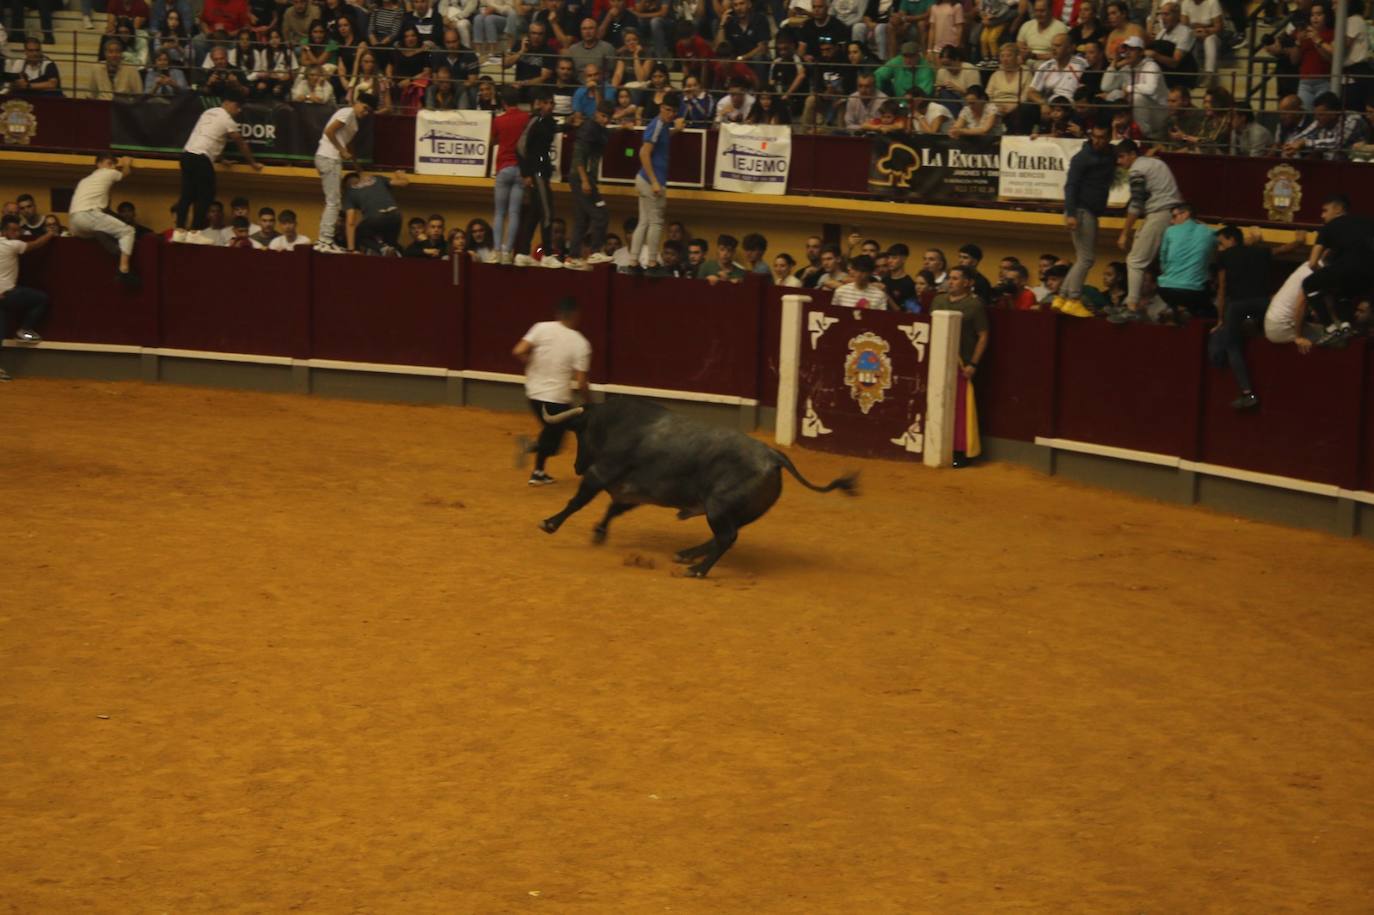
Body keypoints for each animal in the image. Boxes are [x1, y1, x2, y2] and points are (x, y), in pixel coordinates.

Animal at [535, 398, 857, 574]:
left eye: (579, 433)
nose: (576, 466)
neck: (612, 423)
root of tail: (774, 456)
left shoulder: (600, 473)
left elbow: (578, 501)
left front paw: (549, 523)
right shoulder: (632, 493)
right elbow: (613, 509)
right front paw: (599, 533)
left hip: (718, 507)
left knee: (726, 537)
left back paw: (696, 569)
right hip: (736, 513)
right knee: (723, 537)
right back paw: (686, 555)